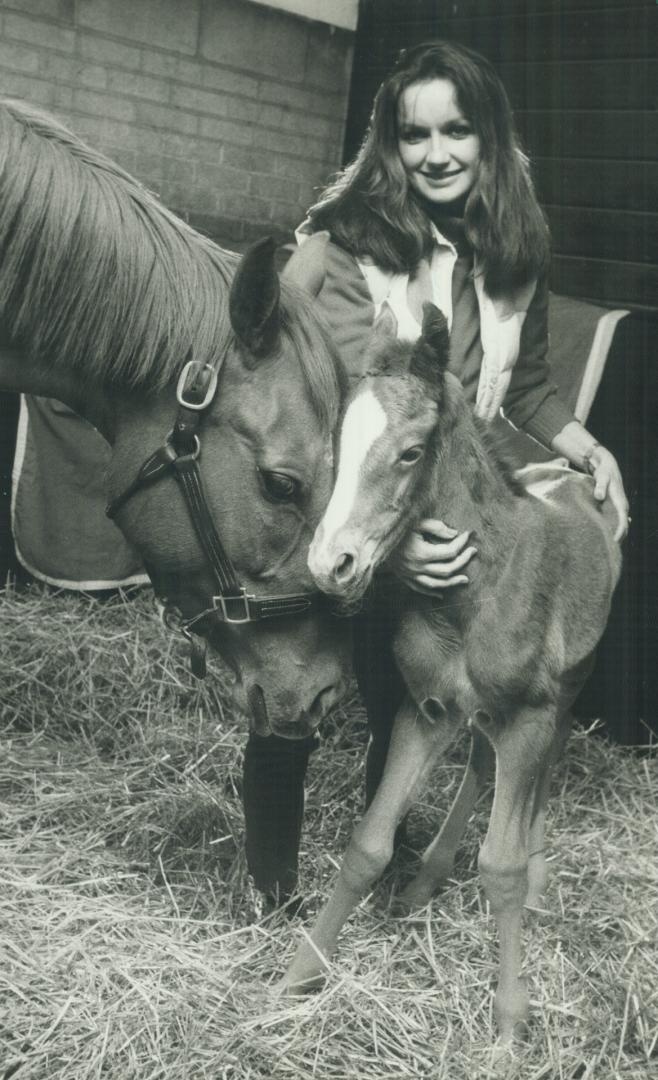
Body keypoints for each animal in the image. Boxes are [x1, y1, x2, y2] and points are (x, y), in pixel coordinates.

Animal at [283, 302, 622, 1036]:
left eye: (411, 452)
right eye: (339, 442)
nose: (331, 563)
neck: (477, 596)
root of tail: (575, 477)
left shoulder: (526, 719)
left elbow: (503, 867)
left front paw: (509, 1019)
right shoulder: (428, 709)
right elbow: (370, 844)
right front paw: (301, 973)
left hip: (567, 692)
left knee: (543, 763)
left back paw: (540, 869)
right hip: (477, 715)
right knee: (479, 766)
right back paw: (427, 876)